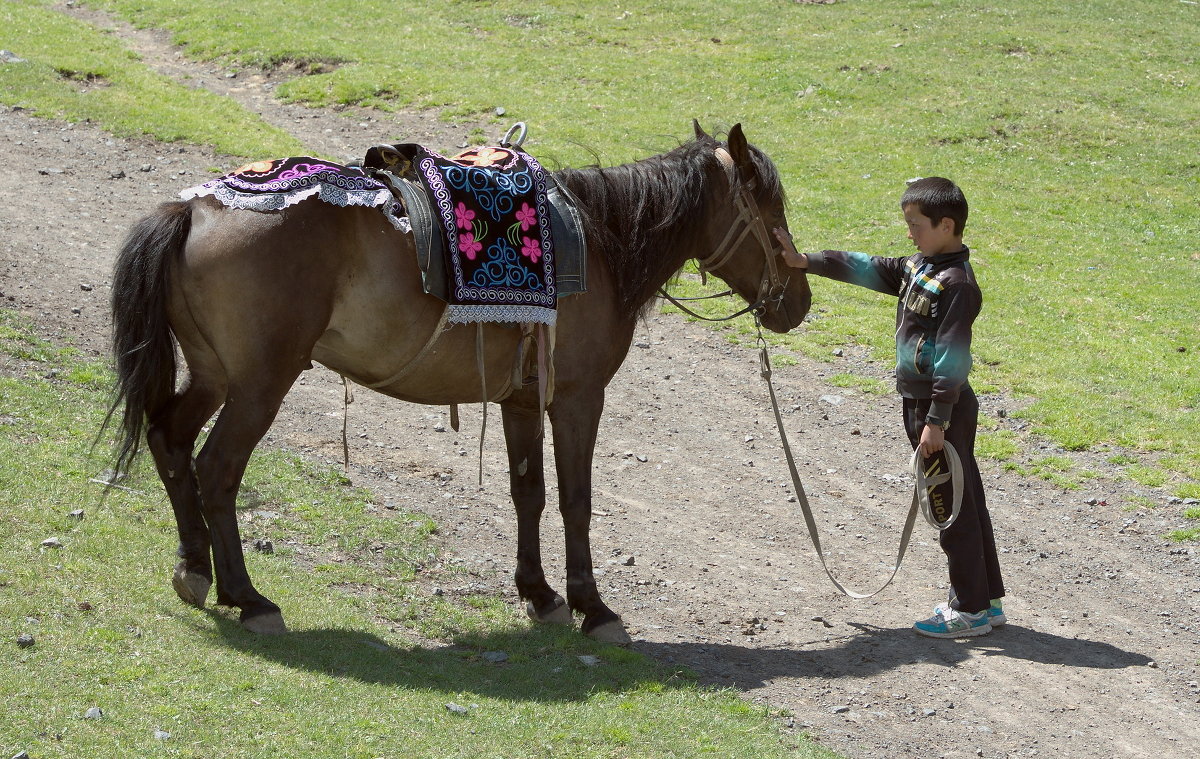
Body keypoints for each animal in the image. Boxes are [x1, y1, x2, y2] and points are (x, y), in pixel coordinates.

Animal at [105, 121, 816, 643]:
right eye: (770, 204)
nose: (799, 301)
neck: (603, 245)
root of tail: (192, 210)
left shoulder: (521, 400)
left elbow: (528, 493)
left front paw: (540, 594)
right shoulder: (577, 400)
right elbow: (576, 499)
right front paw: (593, 607)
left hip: (214, 374)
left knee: (170, 441)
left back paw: (195, 569)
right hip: (258, 385)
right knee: (217, 468)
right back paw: (248, 597)